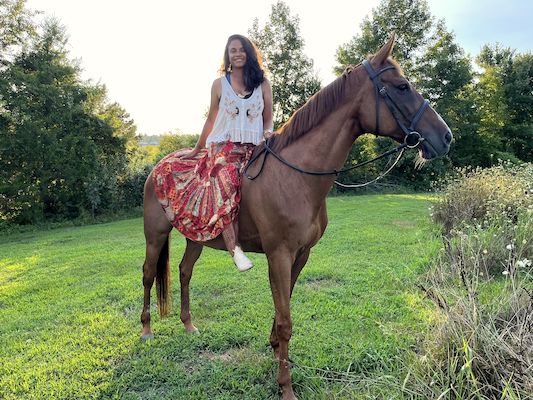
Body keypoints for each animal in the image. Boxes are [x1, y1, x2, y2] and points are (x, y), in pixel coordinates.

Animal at [139, 35, 450, 400]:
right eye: (402, 87)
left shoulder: (301, 254)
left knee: (184, 271)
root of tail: (159, 165)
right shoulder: (280, 255)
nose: (445, 137)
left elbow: (283, 306)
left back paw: (188, 324)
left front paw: (276, 350)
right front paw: (285, 385)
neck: (297, 177)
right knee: (148, 274)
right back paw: (146, 329)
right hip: (155, 235)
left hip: (196, 238)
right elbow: (286, 318)